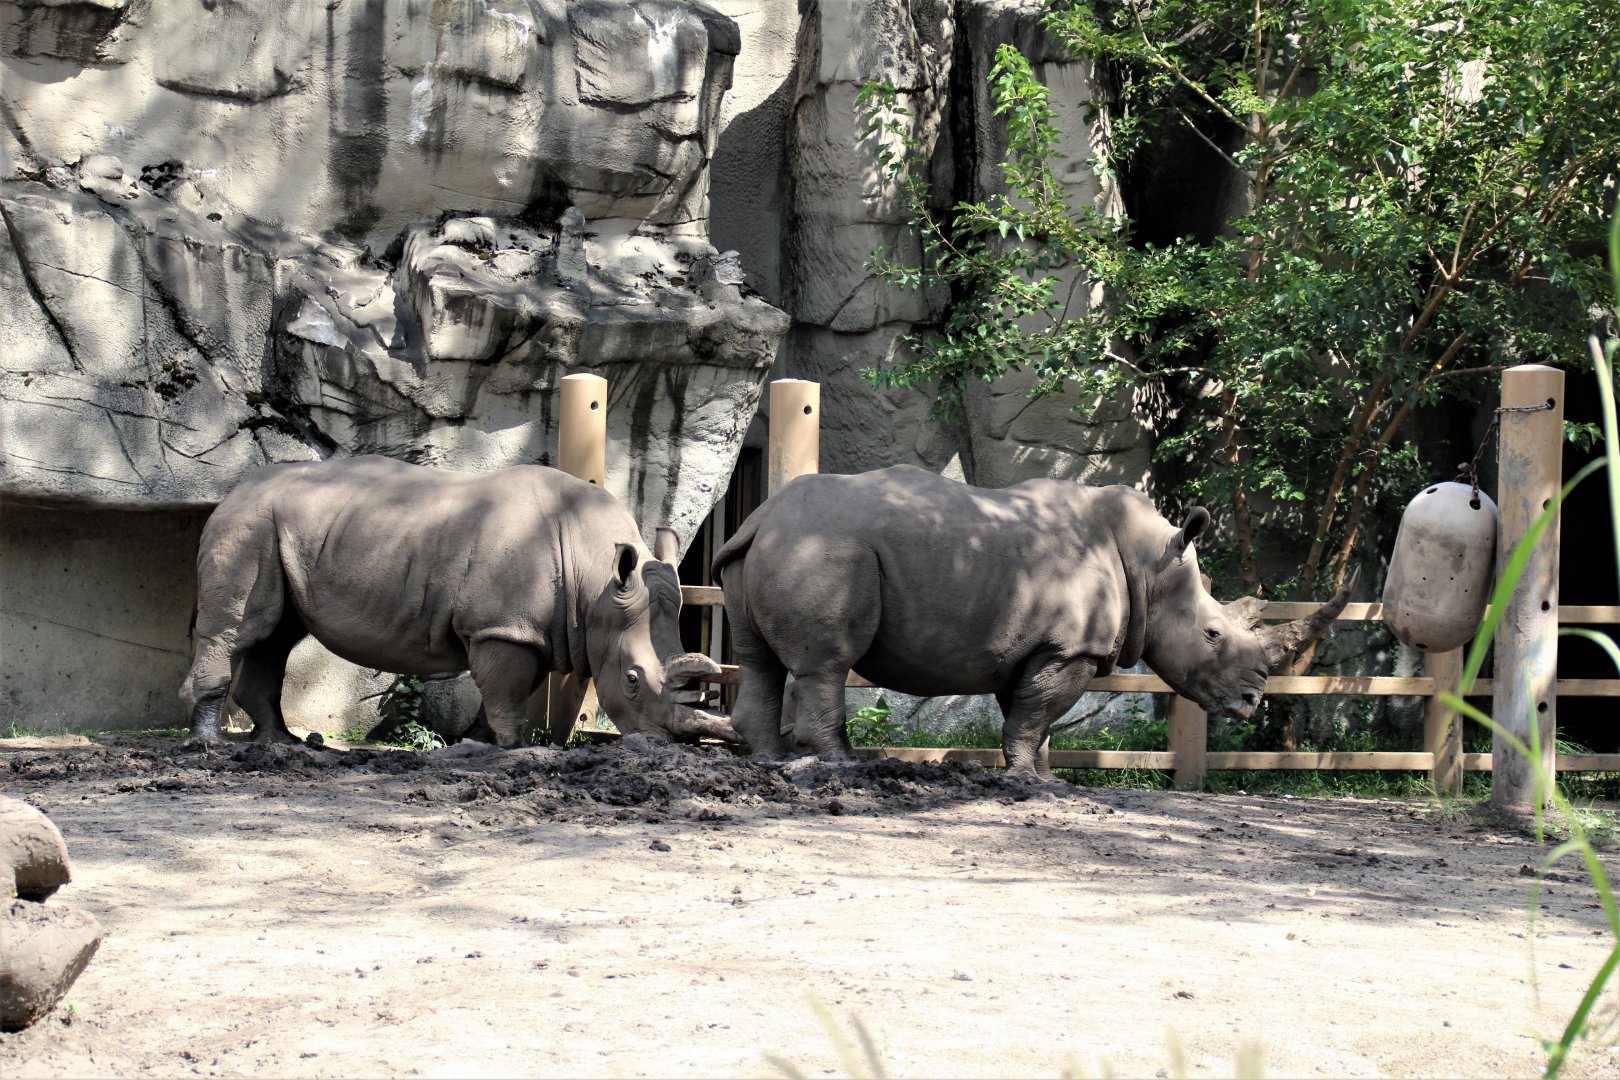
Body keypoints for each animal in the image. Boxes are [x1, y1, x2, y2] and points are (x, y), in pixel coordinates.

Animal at [180, 456, 738, 749]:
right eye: (632, 680)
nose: (668, 743)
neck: (596, 580)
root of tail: (228, 494)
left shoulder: (527, 628)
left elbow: (511, 687)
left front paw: (479, 741)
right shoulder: (500, 627)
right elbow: (506, 689)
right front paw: (514, 750)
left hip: (279, 529)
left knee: (276, 636)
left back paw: (281, 743)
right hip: (248, 525)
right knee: (239, 631)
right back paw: (210, 746)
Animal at [712, 466, 1354, 779]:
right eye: (1212, 634)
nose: (1251, 701)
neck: (1151, 563)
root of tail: (762, 517)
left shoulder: (1034, 646)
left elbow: (1031, 715)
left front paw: (1045, 778)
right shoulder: (1071, 648)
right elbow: (1034, 715)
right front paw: (1028, 783)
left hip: (773, 548)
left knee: (757, 658)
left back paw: (771, 761)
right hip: (825, 549)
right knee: (826, 665)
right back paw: (843, 766)